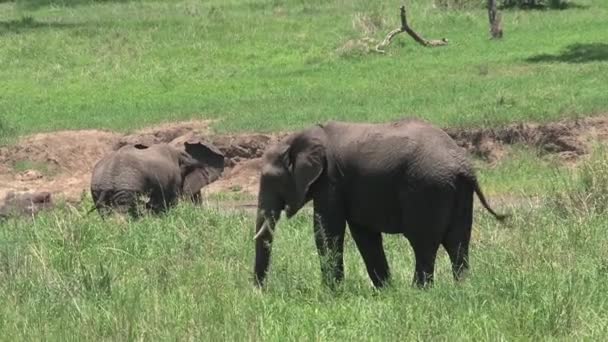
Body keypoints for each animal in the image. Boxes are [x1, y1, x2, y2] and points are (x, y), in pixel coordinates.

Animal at [253, 119, 508, 290]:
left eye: (271, 180)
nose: (260, 291)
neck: (301, 137)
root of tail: (465, 166)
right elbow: (364, 234)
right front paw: (385, 290)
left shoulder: (331, 181)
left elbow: (327, 230)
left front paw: (332, 292)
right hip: (458, 192)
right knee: (458, 241)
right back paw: (462, 288)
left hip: (428, 189)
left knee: (424, 243)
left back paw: (419, 291)